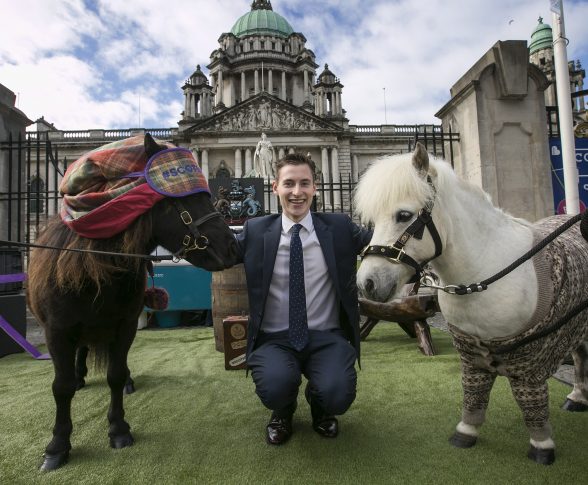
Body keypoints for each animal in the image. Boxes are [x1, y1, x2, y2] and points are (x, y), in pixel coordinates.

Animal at [27, 134, 239, 470]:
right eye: (187, 199)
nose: (235, 247)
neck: (95, 268)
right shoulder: (56, 331)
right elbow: (60, 387)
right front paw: (57, 445)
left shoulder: (124, 325)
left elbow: (114, 375)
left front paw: (118, 429)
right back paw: (79, 376)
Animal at [356, 144, 588, 466]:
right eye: (372, 221)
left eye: (403, 215)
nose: (366, 283)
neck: (483, 272)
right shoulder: (470, 351)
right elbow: (473, 393)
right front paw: (466, 432)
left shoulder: (529, 358)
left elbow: (530, 401)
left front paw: (542, 445)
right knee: (581, 352)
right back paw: (577, 397)